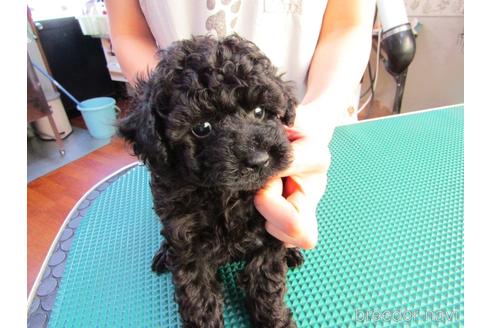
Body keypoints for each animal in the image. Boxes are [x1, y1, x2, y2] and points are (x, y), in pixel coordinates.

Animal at [119, 34, 304, 326]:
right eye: (202, 128)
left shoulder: (270, 228)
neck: (224, 193)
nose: (259, 160)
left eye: (260, 111)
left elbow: (266, 283)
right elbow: (199, 297)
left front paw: (275, 319)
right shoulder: (187, 243)